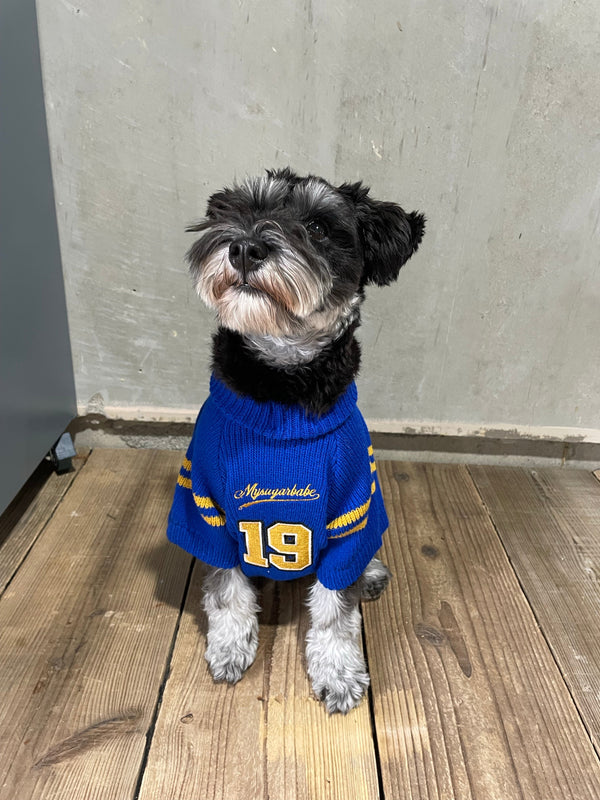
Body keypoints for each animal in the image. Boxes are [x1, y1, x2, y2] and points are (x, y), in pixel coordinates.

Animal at [166, 169, 424, 712]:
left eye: (319, 227)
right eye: (240, 210)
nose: (244, 247)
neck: (281, 392)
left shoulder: (350, 513)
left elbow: (335, 609)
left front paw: (338, 672)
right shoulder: (206, 510)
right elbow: (227, 590)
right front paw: (229, 648)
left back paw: (371, 572)